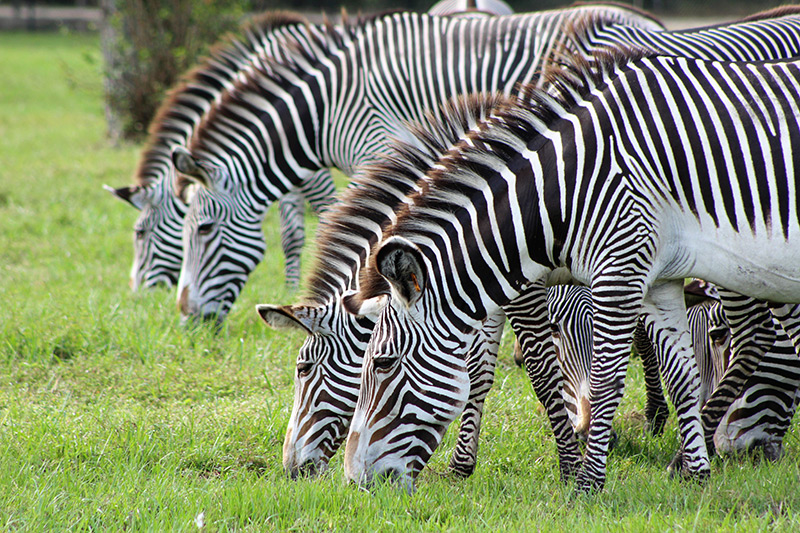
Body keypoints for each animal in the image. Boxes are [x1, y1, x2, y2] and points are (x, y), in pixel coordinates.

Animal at [104, 12, 338, 290]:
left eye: (140, 232)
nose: (138, 295)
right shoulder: (279, 166)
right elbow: (290, 235)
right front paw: (290, 290)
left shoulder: (305, 161)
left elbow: (327, 209)